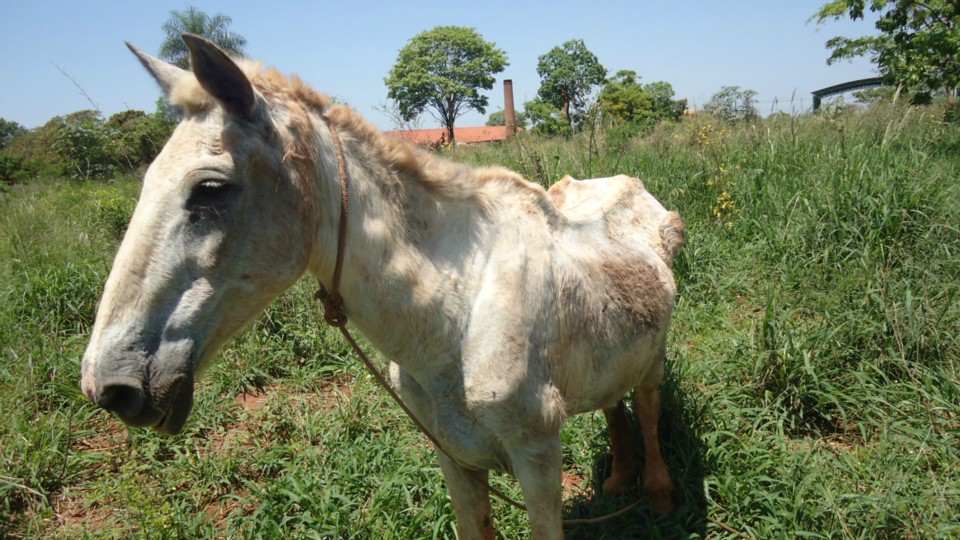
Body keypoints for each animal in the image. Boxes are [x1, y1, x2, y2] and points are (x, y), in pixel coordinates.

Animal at [80, 35, 684, 536]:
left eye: (209, 189)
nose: (110, 386)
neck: (457, 318)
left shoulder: (538, 460)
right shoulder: (457, 459)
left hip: (654, 359)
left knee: (649, 409)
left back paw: (658, 494)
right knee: (613, 404)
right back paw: (618, 479)